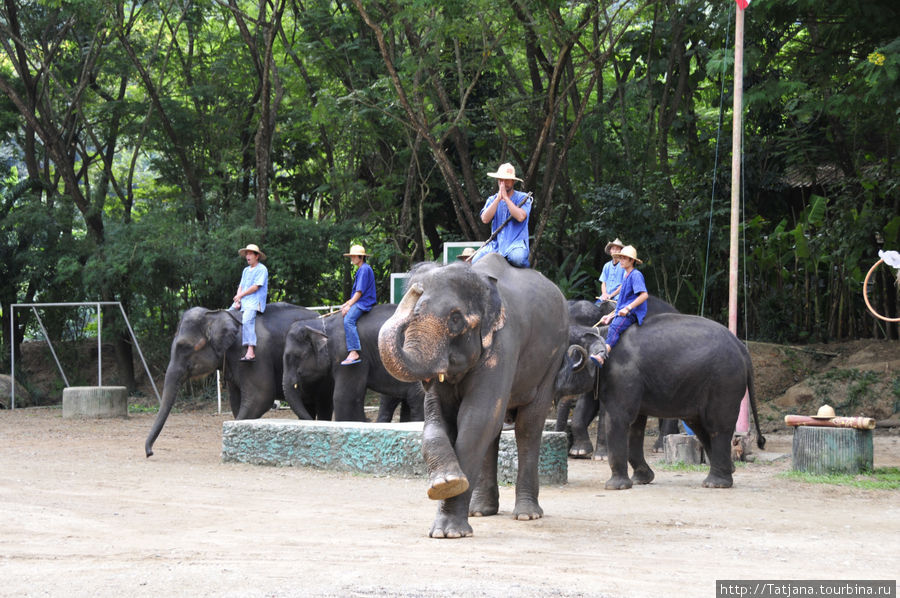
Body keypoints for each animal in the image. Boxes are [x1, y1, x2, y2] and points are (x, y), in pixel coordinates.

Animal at [144, 302, 330, 458]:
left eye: (185, 347)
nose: (150, 453)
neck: (217, 314)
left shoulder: (253, 354)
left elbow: (260, 397)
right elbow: (236, 402)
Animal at [380, 253, 568, 540]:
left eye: (456, 319)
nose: (415, 289)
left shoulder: (504, 343)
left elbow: (477, 418)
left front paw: (449, 531)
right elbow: (437, 419)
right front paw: (446, 482)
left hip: (553, 357)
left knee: (528, 426)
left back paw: (527, 514)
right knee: (495, 431)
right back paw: (481, 511)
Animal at [556, 312, 768, 490]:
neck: (600, 331)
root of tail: (741, 347)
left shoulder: (622, 376)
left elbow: (618, 419)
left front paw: (616, 487)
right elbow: (635, 425)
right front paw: (641, 480)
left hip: (724, 381)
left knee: (718, 426)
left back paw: (715, 484)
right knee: (700, 426)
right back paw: (728, 472)